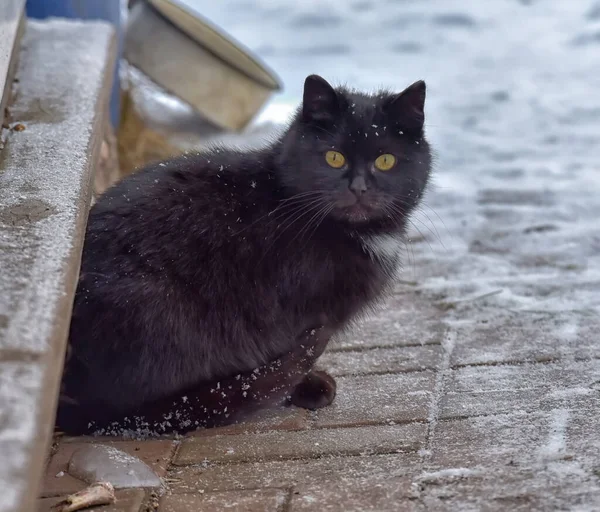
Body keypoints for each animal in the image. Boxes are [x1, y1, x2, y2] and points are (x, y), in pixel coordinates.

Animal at [57, 75, 432, 436]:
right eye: (334, 157)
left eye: (386, 161)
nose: (359, 188)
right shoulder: (292, 312)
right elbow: (287, 351)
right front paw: (304, 387)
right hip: (160, 310)